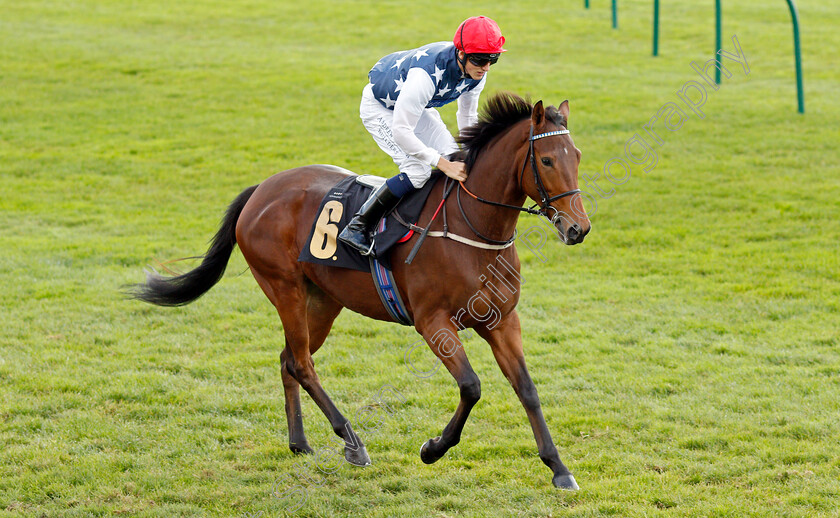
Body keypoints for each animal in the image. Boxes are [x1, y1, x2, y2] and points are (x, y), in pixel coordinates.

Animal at [130, 92, 592, 492]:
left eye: (578, 157)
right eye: (547, 159)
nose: (578, 228)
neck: (472, 229)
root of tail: (261, 189)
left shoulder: (502, 320)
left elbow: (527, 389)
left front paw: (559, 468)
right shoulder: (433, 324)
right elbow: (471, 386)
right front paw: (432, 449)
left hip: (322, 301)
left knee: (288, 359)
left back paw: (300, 442)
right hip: (284, 288)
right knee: (302, 364)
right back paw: (352, 441)